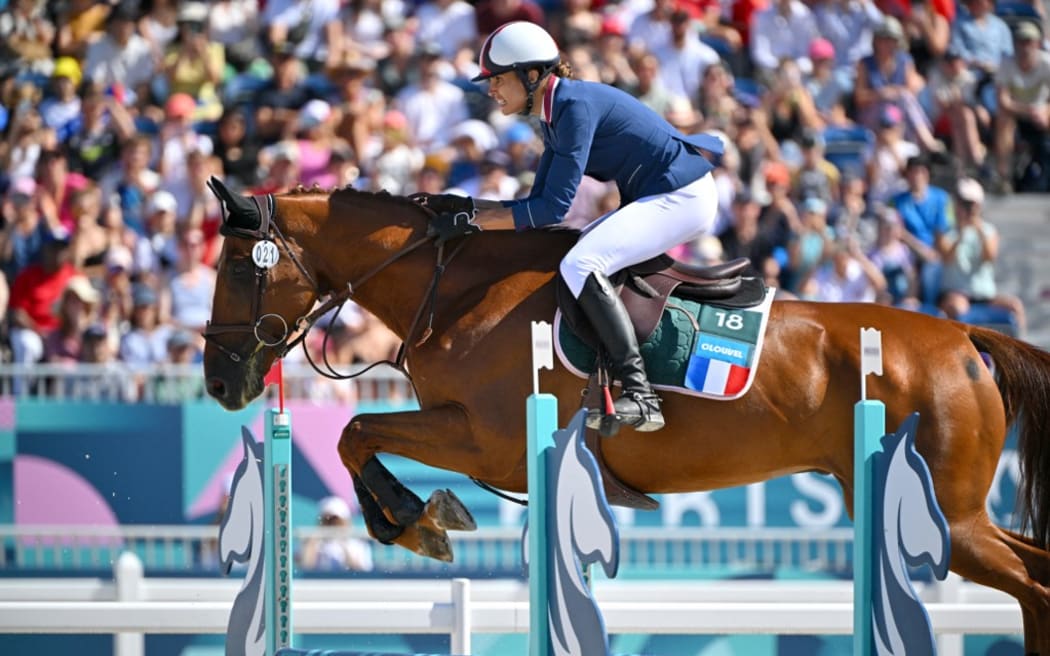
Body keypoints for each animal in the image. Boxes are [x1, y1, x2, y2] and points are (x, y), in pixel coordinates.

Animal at [202, 180, 1050, 650]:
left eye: (240, 266)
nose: (217, 382)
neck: (454, 287)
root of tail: (965, 338)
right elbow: (358, 437)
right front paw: (416, 520)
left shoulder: (481, 440)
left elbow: (355, 432)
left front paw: (417, 520)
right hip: (962, 519)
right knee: (1035, 576)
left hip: (950, 518)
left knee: (1034, 589)